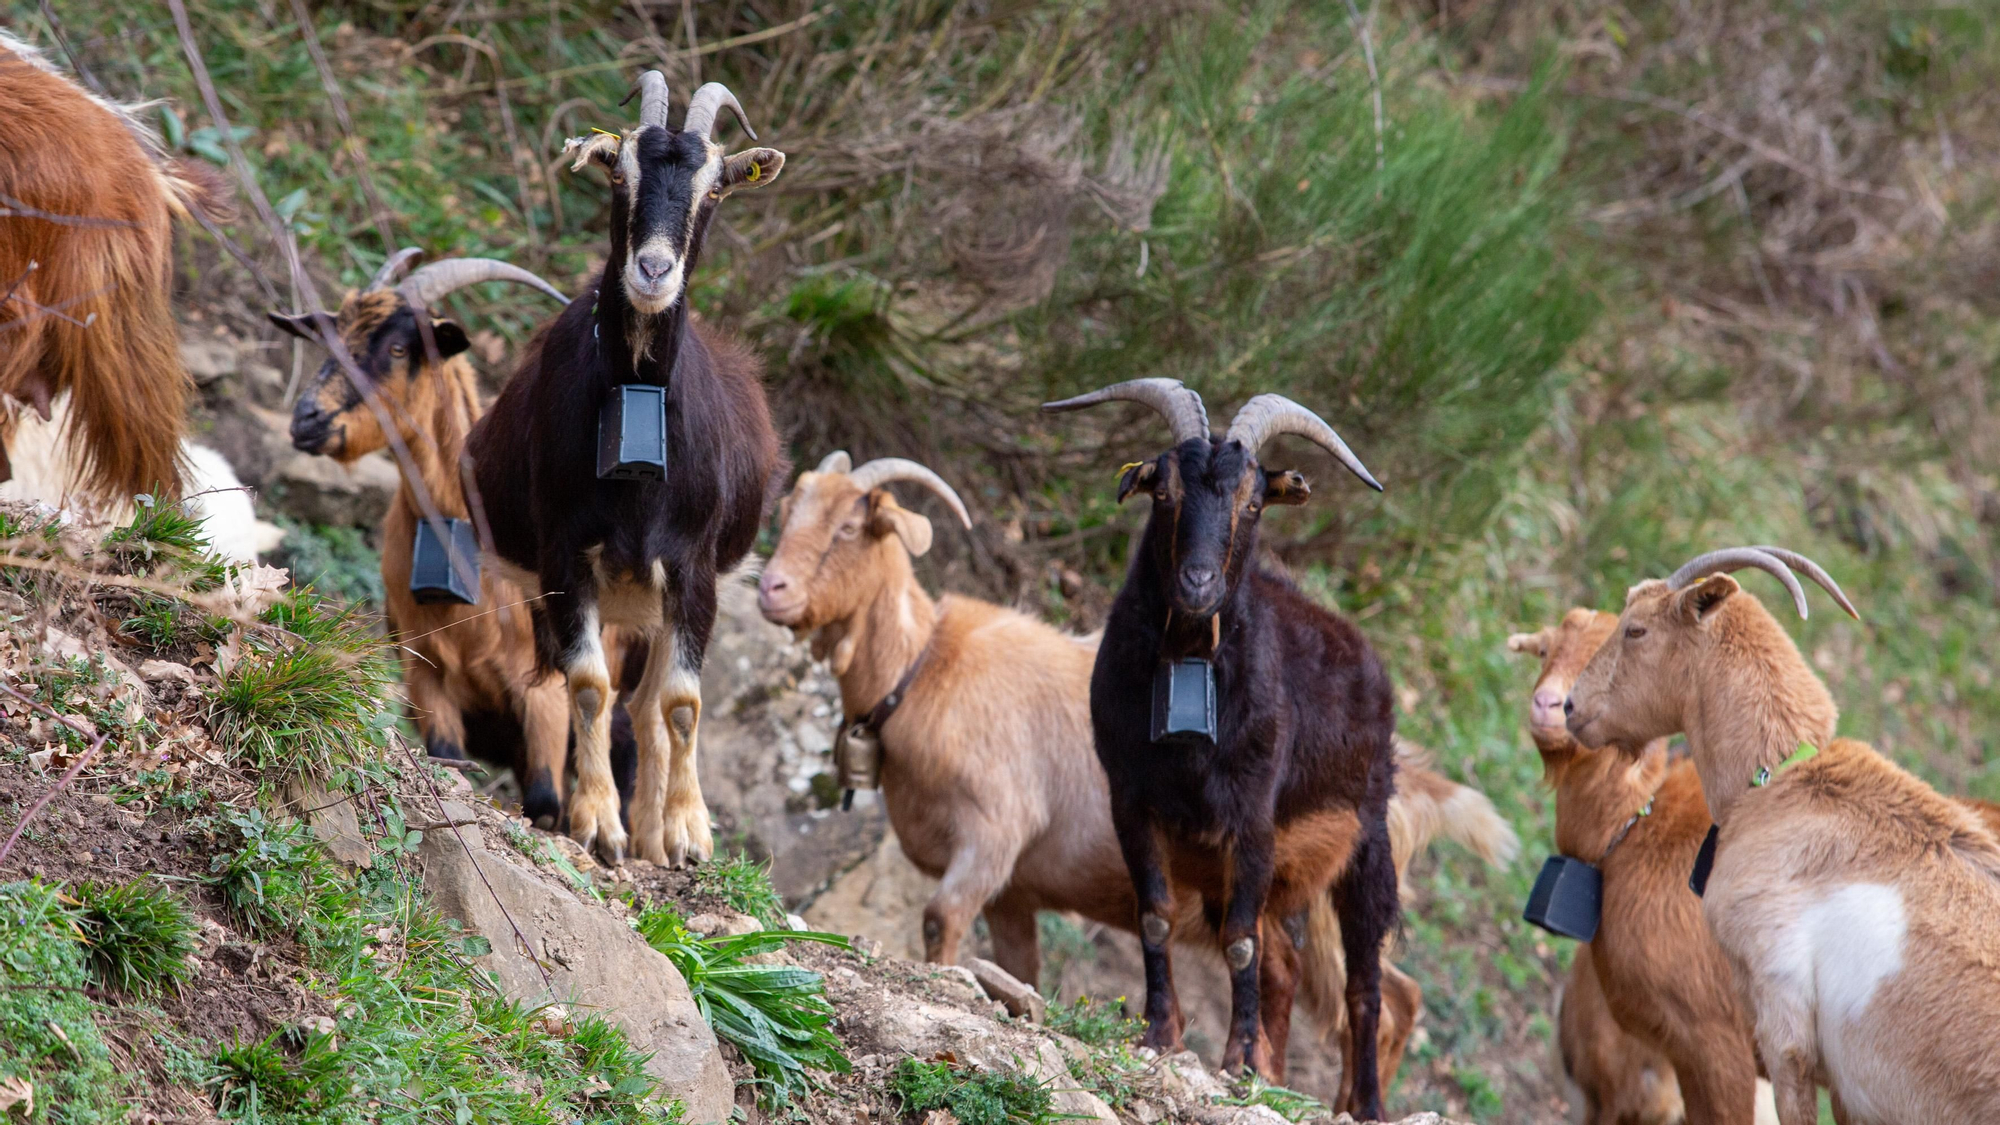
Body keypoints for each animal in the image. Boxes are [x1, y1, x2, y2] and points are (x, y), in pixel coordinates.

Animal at [270, 250, 636, 826]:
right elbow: (447, 759)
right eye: (331, 340)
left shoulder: (545, 692)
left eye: (399, 348)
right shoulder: (427, 676)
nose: (307, 418)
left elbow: (544, 806)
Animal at [466, 73, 785, 866]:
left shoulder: (695, 567)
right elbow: (587, 686)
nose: (652, 270)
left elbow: (681, 701)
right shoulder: (565, 555)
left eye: (715, 187)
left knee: (647, 705)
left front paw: (689, 832)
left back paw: (658, 832)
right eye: (619, 171)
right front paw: (597, 823)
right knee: (618, 698)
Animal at [758, 451, 1518, 1092]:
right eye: (791, 507)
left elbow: (940, 926)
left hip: (1330, 890)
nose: (771, 588)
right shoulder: (1014, 892)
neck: (924, 670)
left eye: (851, 526)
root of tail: (1410, 772)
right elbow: (1016, 968)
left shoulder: (993, 833)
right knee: (1313, 977)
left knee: (1387, 999)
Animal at [1042, 378, 1398, 1118]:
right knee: (1285, 964)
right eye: (1164, 489)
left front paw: (1238, 1060)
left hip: (1366, 843)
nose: (1199, 583)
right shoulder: (1131, 800)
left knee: (1362, 985)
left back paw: (1365, 1104)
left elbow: (1237, 944)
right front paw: (1162, 1033)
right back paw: (1279, 1071)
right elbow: (1154, 917)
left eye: (1253, 500)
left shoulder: (1253, 818)